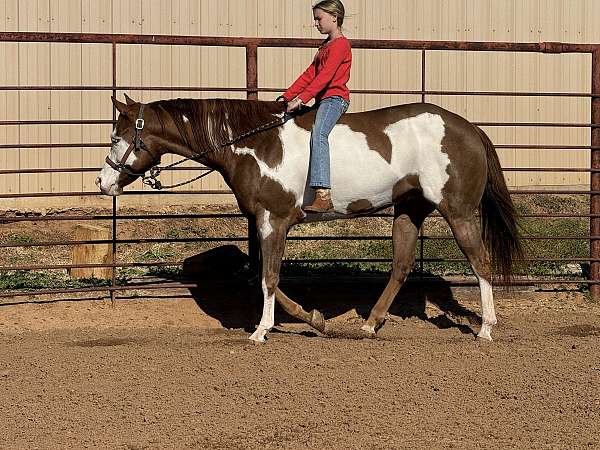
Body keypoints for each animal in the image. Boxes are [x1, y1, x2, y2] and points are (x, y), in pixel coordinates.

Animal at [97, 94, 520, 342]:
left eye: (117, 137)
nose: (102, 182)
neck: (254, 145)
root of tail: (470, 129)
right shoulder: (265, 222)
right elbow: (262, 275)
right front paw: (315, 319)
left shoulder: (274, 220)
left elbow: (268, 277)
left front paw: (261, 331)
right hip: (408, 210)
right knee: (400, 267)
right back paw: (369, 324)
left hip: (459, 212)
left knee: (480, 263)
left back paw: (486, 329)